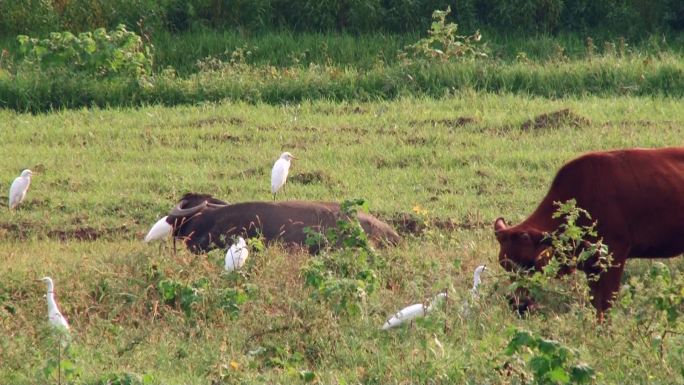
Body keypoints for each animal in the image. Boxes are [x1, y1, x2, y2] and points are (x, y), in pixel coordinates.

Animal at [494, 146, 684, 320]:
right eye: (504, 265)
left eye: (530, 263)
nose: (519, 306)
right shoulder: (590, 266)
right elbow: (595, 303)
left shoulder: (614, 257)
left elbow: (606, 303)